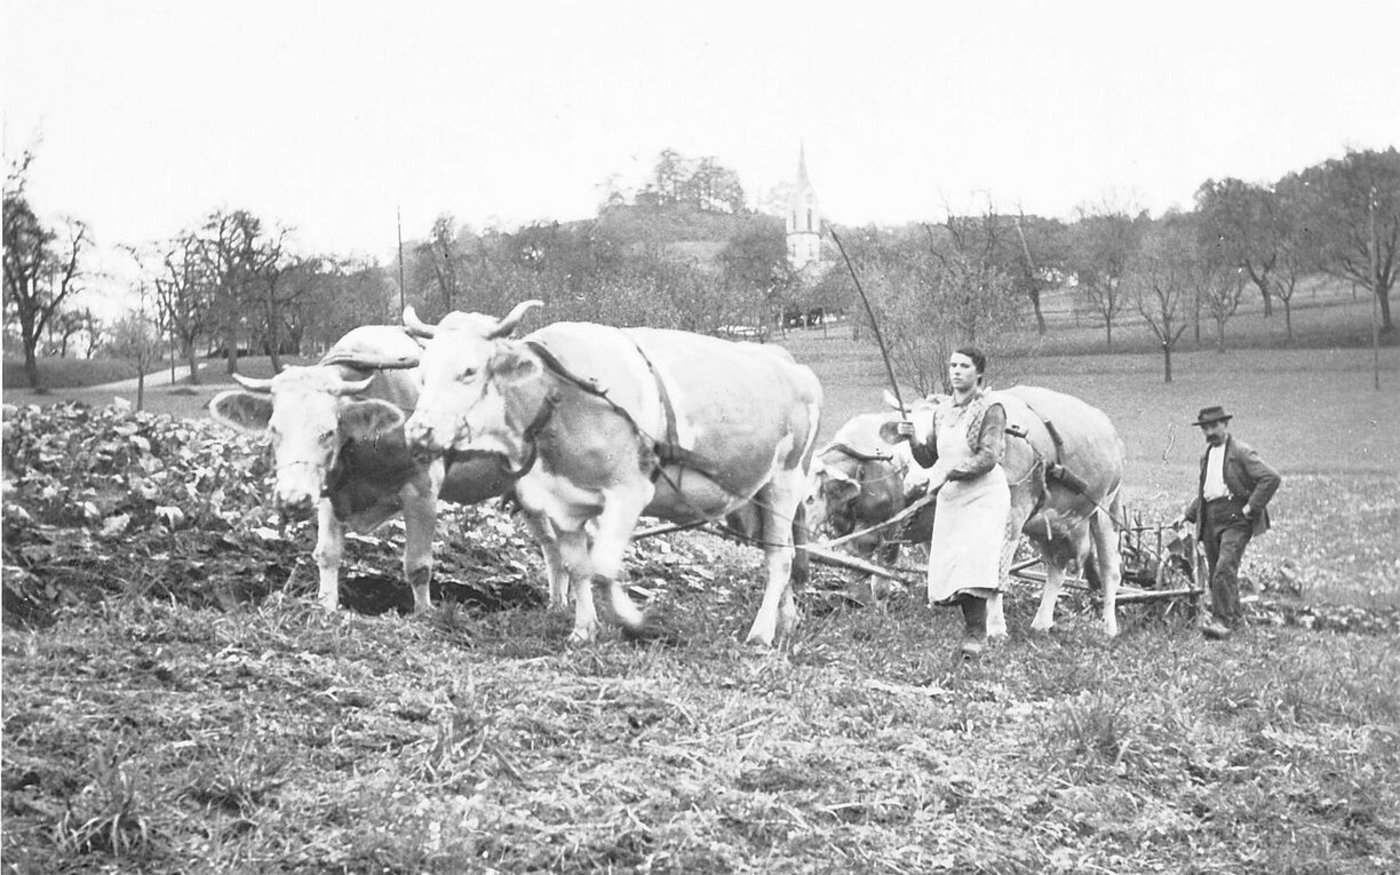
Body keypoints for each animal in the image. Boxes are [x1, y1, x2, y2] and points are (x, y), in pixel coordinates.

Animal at [208, 325, 553, 613]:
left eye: (328, 431)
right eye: (274, 428)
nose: (292, 498)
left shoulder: (422, 489)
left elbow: (418, 565)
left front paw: (424, 615)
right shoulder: (328, 492)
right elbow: (327, 554)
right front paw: (326, 608)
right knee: (551, 543)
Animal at [399, 301, 824, 647]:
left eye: (468, 371)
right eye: (421, 374)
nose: (417, 431)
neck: (557, 397)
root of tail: (789, 363)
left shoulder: (628, 493)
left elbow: (603, 569)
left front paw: (634, 620)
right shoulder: (562, 503)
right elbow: (579, 568)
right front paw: (583, 630)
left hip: (786, 481)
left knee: (779, 559)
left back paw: (761, 633)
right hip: (755, 498)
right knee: (781, 552)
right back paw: (786, 619)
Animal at [808, 385, 1125, 638]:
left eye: (810, 497)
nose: (918, 484)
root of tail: (1107, 426)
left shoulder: (895, 533)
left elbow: (883, 579)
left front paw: (995, 628)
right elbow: (861, 572)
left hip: (1105, 511)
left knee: (1110, 570)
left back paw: (1108, 627)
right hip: (1044, 523)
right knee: (1057, 567)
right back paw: (1042, 622)